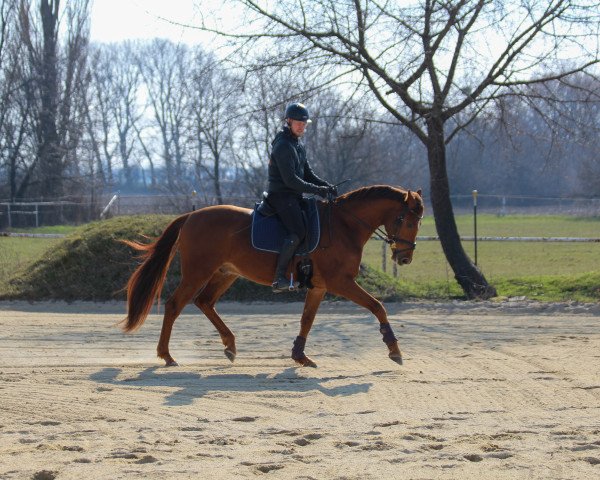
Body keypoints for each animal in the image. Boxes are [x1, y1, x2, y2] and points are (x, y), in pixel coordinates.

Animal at [122, 184, 424, 368]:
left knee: (204, 302)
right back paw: (167, 355)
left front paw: (300, 356)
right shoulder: (341, 282)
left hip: (225, 273)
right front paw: (394, 349)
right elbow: (377, 306)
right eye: (406, 220)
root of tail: (191, 216)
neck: (343, 226)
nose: (405, 258)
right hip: (198, 272)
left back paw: (230, 346)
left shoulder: (319, 287)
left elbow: (306, 320)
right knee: (175, 305)